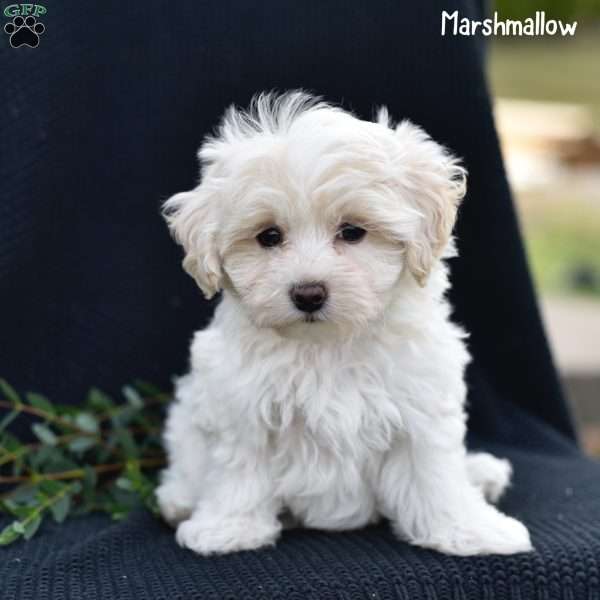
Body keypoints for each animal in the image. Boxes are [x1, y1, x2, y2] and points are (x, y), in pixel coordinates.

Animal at [157, 91, 532, 556]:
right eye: (269, 236)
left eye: (352, 232)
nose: (308, 293)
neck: (328, 345)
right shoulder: (241, 407)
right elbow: (239, 471)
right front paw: (227, 528)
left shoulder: (420, 405)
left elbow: (434, 476)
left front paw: (470, 529)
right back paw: (178, 500)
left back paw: (481, 472)